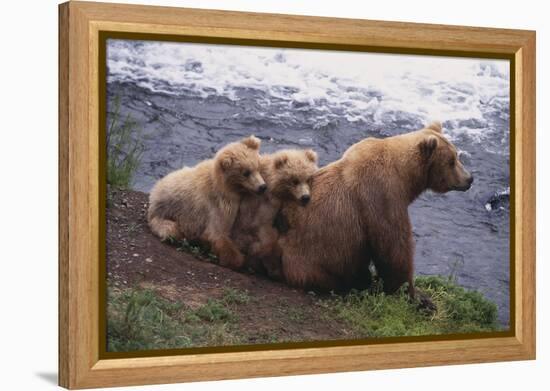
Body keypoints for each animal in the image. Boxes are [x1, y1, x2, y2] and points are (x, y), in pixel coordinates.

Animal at [280, 122, 474, 304]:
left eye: (457, 156)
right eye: (451, 161)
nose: (469, 179)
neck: (404, 177)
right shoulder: (382, 196)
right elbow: (394, 249)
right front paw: (417, 298)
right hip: (312, 260)